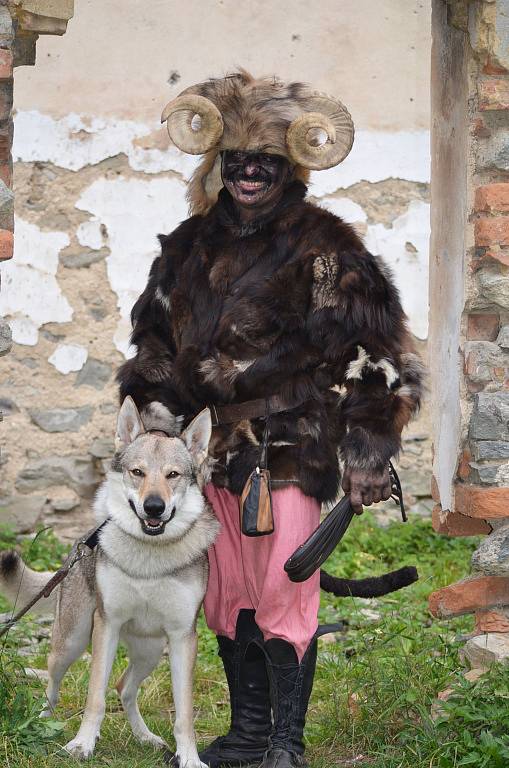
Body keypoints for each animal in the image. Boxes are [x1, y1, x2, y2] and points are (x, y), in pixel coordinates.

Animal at [0, 396, 218, 760]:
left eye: (173, 475)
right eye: (137, 472)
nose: (154, 507)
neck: (148, 556)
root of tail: (79, 543)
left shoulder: (183, 637)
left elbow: (184, 715)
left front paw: (189, 758)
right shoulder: (107, 625)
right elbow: (95, 698)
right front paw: (81, 744)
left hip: (151, 651)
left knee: (125, 688)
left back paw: (146, 738)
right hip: (71, 642)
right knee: (53, 685)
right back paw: (43, 722)